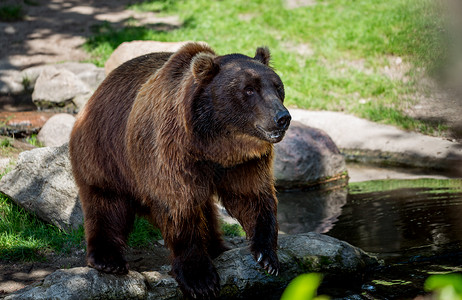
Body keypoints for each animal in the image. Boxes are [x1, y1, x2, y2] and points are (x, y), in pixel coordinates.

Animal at [68, 42, 290, 298]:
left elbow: (252, 196)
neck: (215, 146)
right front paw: (200, 279)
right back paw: (108, 260)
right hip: (106, 151)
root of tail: (97, 91)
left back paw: (217, 247)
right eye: (249, 90)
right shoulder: (172, 151)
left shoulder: (245, 161)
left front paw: (267, 256)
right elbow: (179, 208)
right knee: (106, 203)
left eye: (277, 86)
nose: (282, 117)